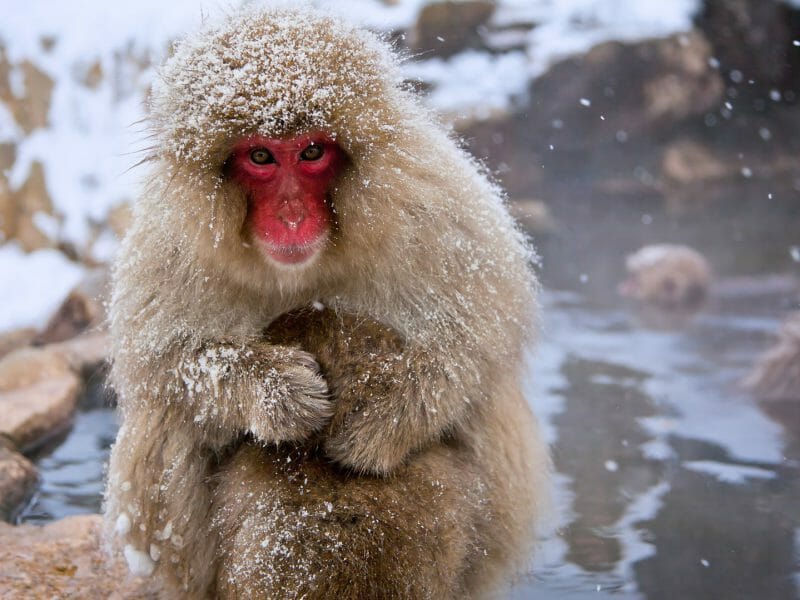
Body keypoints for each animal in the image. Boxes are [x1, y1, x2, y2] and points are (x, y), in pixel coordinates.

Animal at [103, 8, 547, 599]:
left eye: (312, 152)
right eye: (261, 156)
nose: (292, 215)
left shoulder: (436, 204)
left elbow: (478, 339)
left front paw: (382, 413)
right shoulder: (169, 243)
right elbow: (165, 365)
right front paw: (276, 391)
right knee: (167, 422)